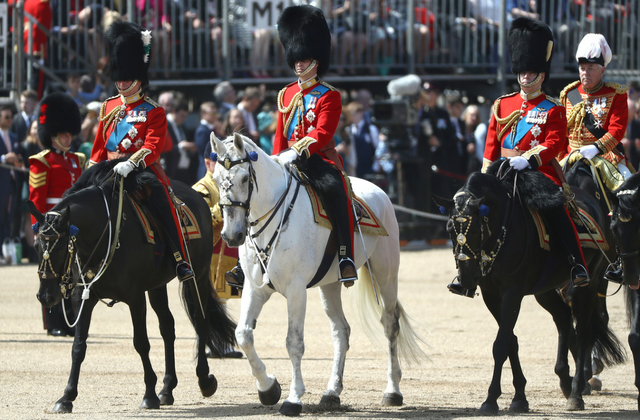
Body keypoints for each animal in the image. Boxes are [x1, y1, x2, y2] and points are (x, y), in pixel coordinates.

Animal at [29, 160, 235, 414]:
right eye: (37, 246)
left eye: (59, 248)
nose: (45, 296)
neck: (104, 235)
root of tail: (196, 195)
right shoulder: (83, 297)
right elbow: (78, 346)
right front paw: (66, 396)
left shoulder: (135, 297)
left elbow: (141, 343)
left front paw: (149, 395)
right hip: (157, 285)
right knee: (167, 327)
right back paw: (167, 388)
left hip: (199, 274)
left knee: (201, 319)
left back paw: (204, 380)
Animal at [210, 133, 428, 416]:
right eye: (216, 178)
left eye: (245, 178)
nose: (231, 235)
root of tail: (379, 190)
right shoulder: (255, 288)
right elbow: (243, 335)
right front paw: (268, 389)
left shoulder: (295, 289)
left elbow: (293, 342)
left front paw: (293, 398)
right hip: (330, 284)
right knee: (341, 331)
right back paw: (332, 392)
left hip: (386, 274)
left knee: (390, 325)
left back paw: (392, 391)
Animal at [432, 163, 624, 414]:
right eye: (449, 230)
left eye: (474, 230)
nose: (465, 280)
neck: (502, 229)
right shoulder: (491, 295)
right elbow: (510, 341)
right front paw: (519, 397)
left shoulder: (512, 293)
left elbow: (501, 344)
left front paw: (491, 399)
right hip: (545, 290)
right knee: (563, 319)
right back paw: (565, 379)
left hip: (590, 283)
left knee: (583, 330)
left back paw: (576, 392)